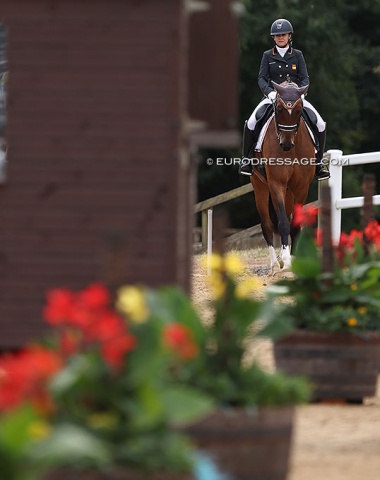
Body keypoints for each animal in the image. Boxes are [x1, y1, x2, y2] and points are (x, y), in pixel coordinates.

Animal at [252, 80, 314, 272]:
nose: (286, 144)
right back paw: (274, 263)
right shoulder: (276, 184)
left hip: (289, 192)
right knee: (267, 224)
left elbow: (294, 224)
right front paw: (286, 262)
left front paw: (292, 260)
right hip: (260, 186)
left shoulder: (301, 188)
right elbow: (283, 223)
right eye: (278, 109)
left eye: (300, 110)